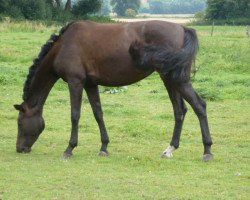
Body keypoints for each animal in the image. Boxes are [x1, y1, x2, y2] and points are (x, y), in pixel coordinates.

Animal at [13, 19, 213, 161]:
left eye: (20, 122)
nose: (20, 149)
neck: (63, 45)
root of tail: (183, 29)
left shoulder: (75, 82)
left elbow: (75, 115)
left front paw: (69, 149)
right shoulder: (90, 84)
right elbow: (98, 113)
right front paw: (104, 147)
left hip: (175, 79)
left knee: (199, 106)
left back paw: (207, 150)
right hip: (170, 80)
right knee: (180, 111)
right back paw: (170, 149)